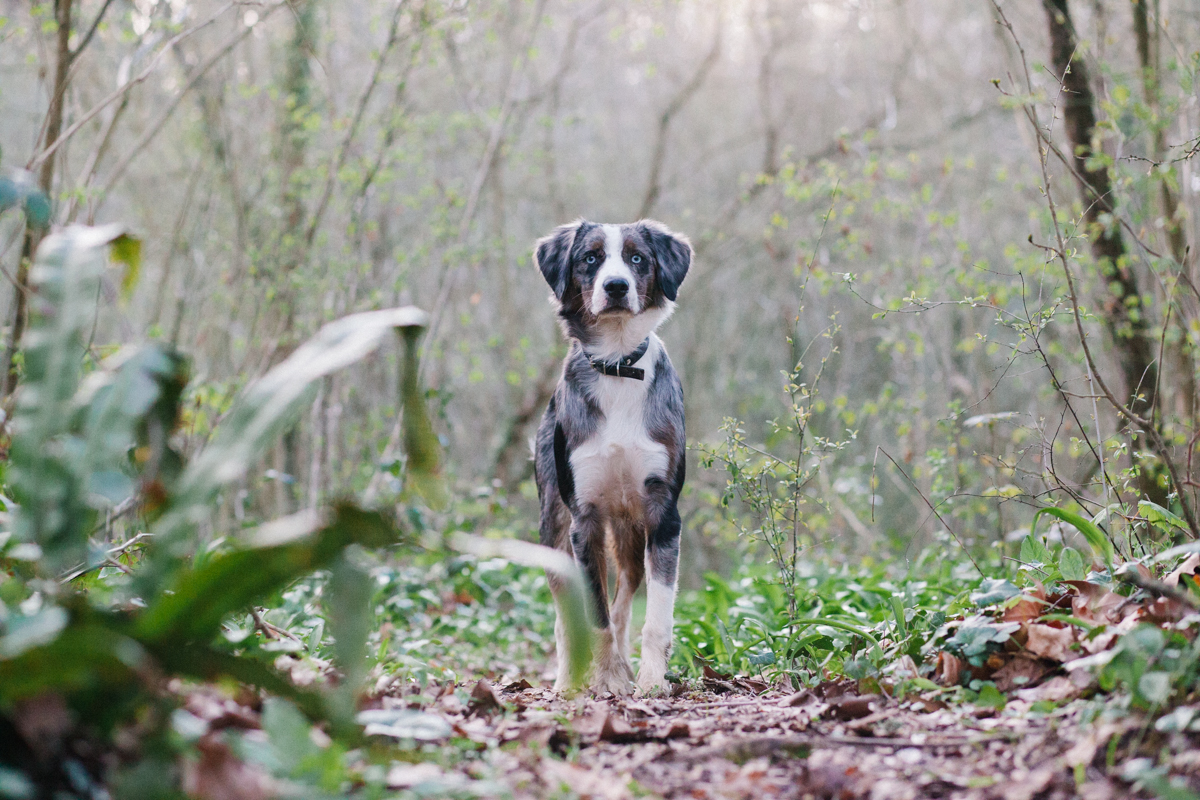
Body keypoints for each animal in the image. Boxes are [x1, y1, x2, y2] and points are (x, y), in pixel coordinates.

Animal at [532, 219, 691, 695]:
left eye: (637, 257)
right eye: (591, 258)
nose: (616, 286)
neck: (618, 365)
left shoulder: (663, 513)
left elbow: (653, 618)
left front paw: (650, 681)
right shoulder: (583, 521)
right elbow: (594, 617)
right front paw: (607, 679)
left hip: (630, 534)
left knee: (623, 601)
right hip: (553, 525)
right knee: (568, 616)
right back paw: (567, 681)